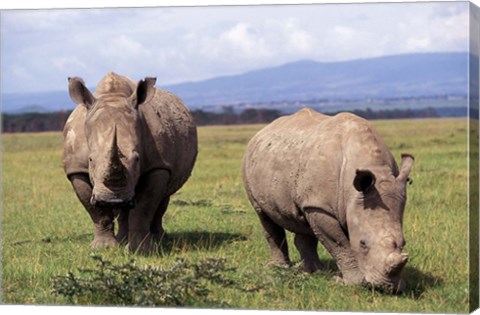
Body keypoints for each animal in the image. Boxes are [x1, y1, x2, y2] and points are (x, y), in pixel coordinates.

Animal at [62, 72, 198, 254]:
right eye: (91, 159)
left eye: (137, 159)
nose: (113, 200)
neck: (113, 97)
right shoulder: (76, 169)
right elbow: (98, 212)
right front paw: (103, 248)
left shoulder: (158, 166)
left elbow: (144, 207)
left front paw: (141, 250)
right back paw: (123, 240)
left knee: (163, 198)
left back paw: (159, 239)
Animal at [242, 108, 414, 294]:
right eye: (362, 243)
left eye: (404, 243)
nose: (387, 287)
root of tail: (261, 132)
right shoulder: (321, 206)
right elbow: (340, 244)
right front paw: (352, 282)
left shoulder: (328, 203)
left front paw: (339, 277)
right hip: (249, 165)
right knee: (264, 215)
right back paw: (280, 268)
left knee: (303, 221)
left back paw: (314, 271)